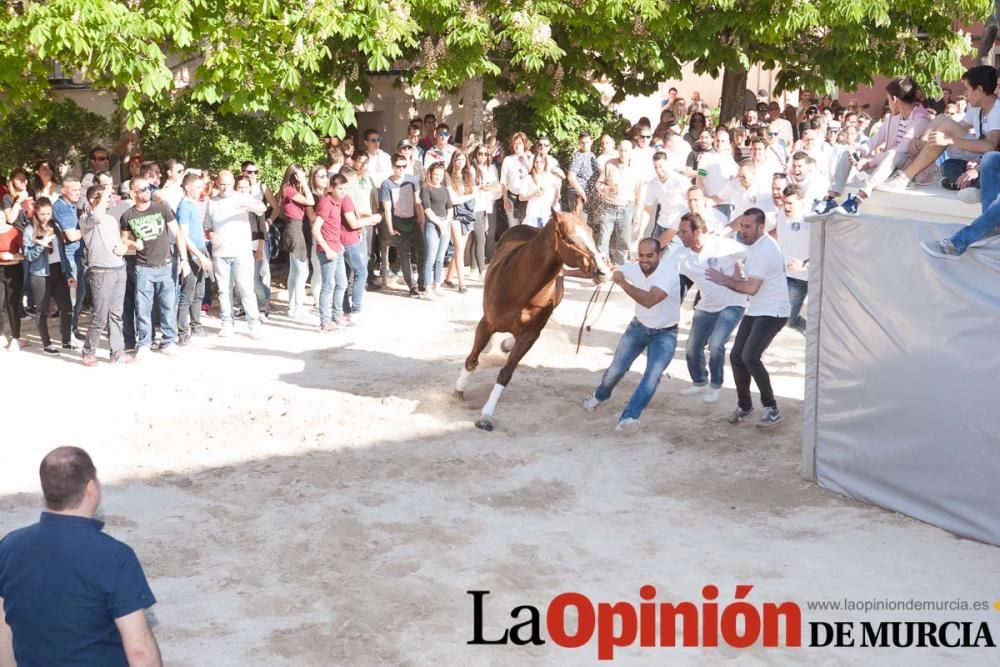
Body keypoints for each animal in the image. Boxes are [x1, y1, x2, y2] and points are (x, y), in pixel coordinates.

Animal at [456, 210, 608, 434]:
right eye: (569, 239)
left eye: (590, 233)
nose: (603, 271)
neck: (522, 287)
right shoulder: (487, 323)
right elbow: (472, 359)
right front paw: (459, 391)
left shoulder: (530, 335)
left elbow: (506, 373)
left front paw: (486, 416)